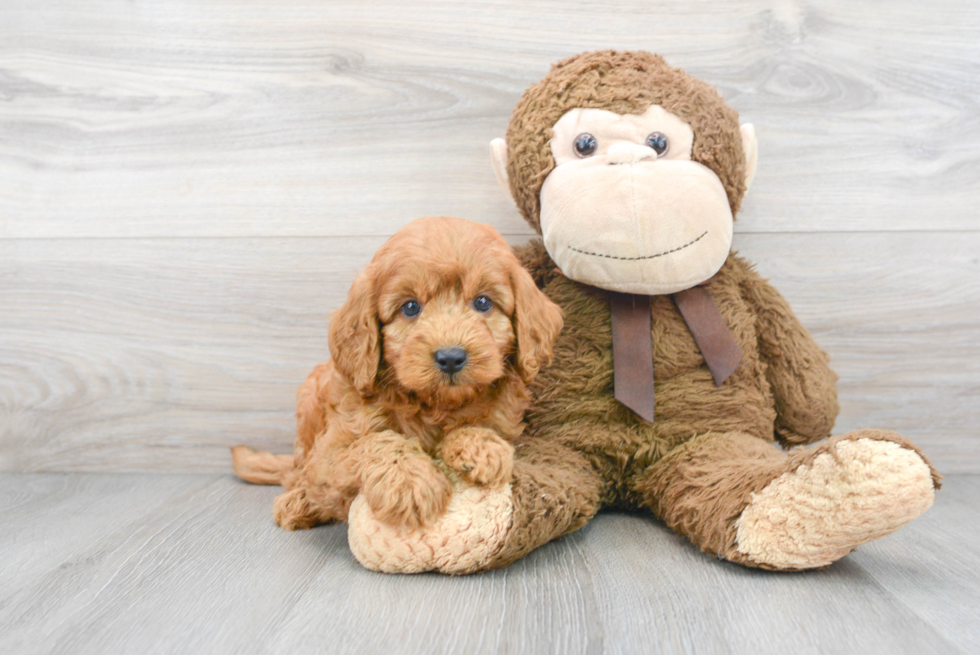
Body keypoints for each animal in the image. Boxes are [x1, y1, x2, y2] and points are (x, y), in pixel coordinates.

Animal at [233, 218, 564, 532]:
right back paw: (298, 502)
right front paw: (410, 480)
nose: (451, 358)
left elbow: (483, 425)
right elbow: (377, 442)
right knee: (297, 474)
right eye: (410, 307)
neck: (433, 404)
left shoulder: (505, 421)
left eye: (483, 302)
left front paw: (480, 446)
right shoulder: (329, 453)